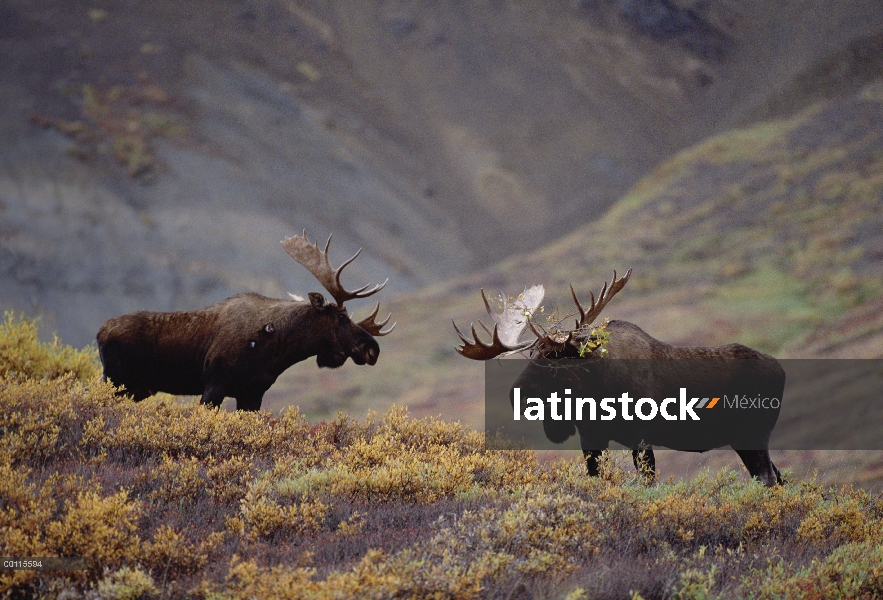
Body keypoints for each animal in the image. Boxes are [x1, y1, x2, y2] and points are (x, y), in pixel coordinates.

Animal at [97, 232, 398, 410]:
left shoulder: (252, 394)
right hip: (116, 381)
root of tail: (99, 332)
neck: (278, 347)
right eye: (342, 317)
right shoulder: (214, 386)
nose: (373, 349)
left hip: (135, 388)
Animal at [456, 270, 788, 486]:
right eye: (534, 354)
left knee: (768, 478)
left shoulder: (641, 438)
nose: (518, 394)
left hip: (754, 434)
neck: (595, 390)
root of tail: (782, 371)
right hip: (744, 440)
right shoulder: (592, 438)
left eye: (556, 358)